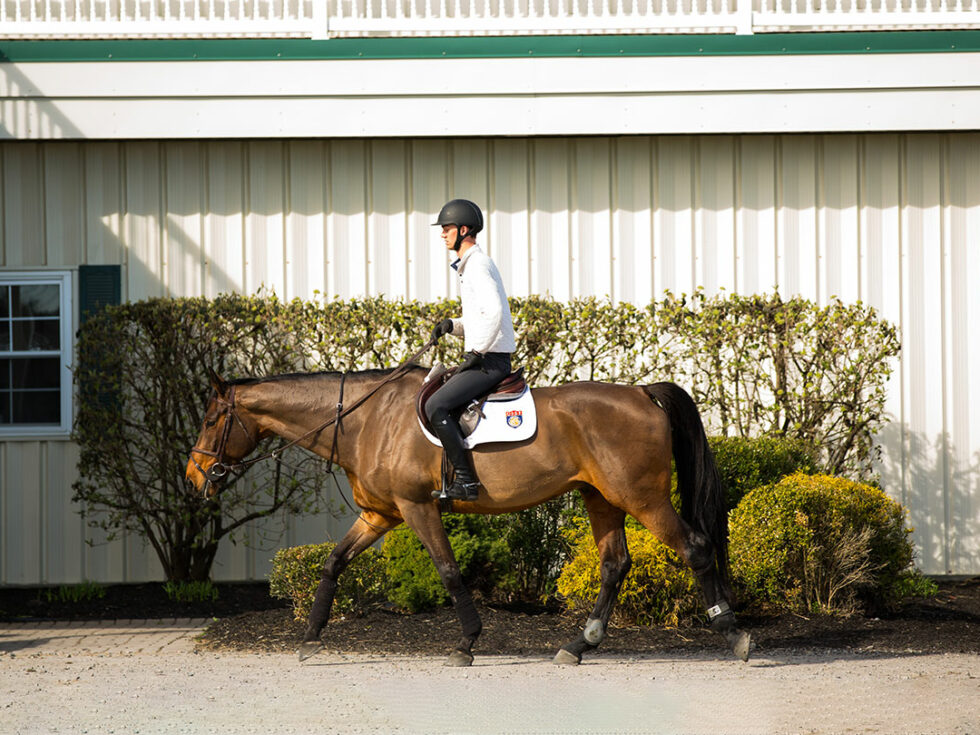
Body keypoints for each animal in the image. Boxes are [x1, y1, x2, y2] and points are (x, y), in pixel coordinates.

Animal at [186, 364, 752, 668]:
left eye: (212, 419)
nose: (194, 477)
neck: (369, 421)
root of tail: (641, 392)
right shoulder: (378, 515)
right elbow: (333, 564)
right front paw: (309, 640)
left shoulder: (415, 508)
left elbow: (448, 571)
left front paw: (466, 642)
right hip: (602, 499)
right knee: (614, 565)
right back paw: (577, 645)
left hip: (643, 499)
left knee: (696, 548)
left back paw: (734, 634)